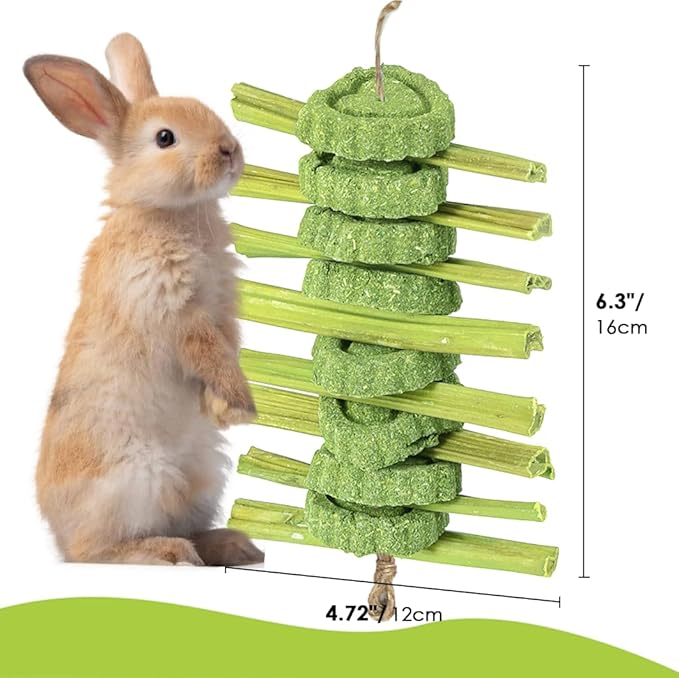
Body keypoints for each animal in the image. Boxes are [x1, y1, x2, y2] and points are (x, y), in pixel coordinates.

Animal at [24, 33, 264, 566]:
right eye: (165, 139)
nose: (229, 150)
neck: (169, 212)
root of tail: (57, 533)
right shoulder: (176, 311)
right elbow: (208, 351)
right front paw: (240, 408)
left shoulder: (224, 308)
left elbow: (228, 346)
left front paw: (220, 410)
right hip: (136, 480)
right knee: (95, 552)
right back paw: (165, 553)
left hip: (201, 477)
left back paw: (232, 545)